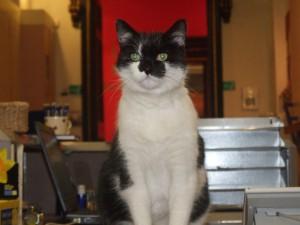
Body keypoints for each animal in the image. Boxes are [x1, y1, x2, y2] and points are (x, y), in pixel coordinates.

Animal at [98, 18, 209, 225]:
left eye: (163, 56)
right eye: (134, 56)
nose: (146, 67)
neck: (154, 107)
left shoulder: (184, 170)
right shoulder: (132, 169)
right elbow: (139, 202)